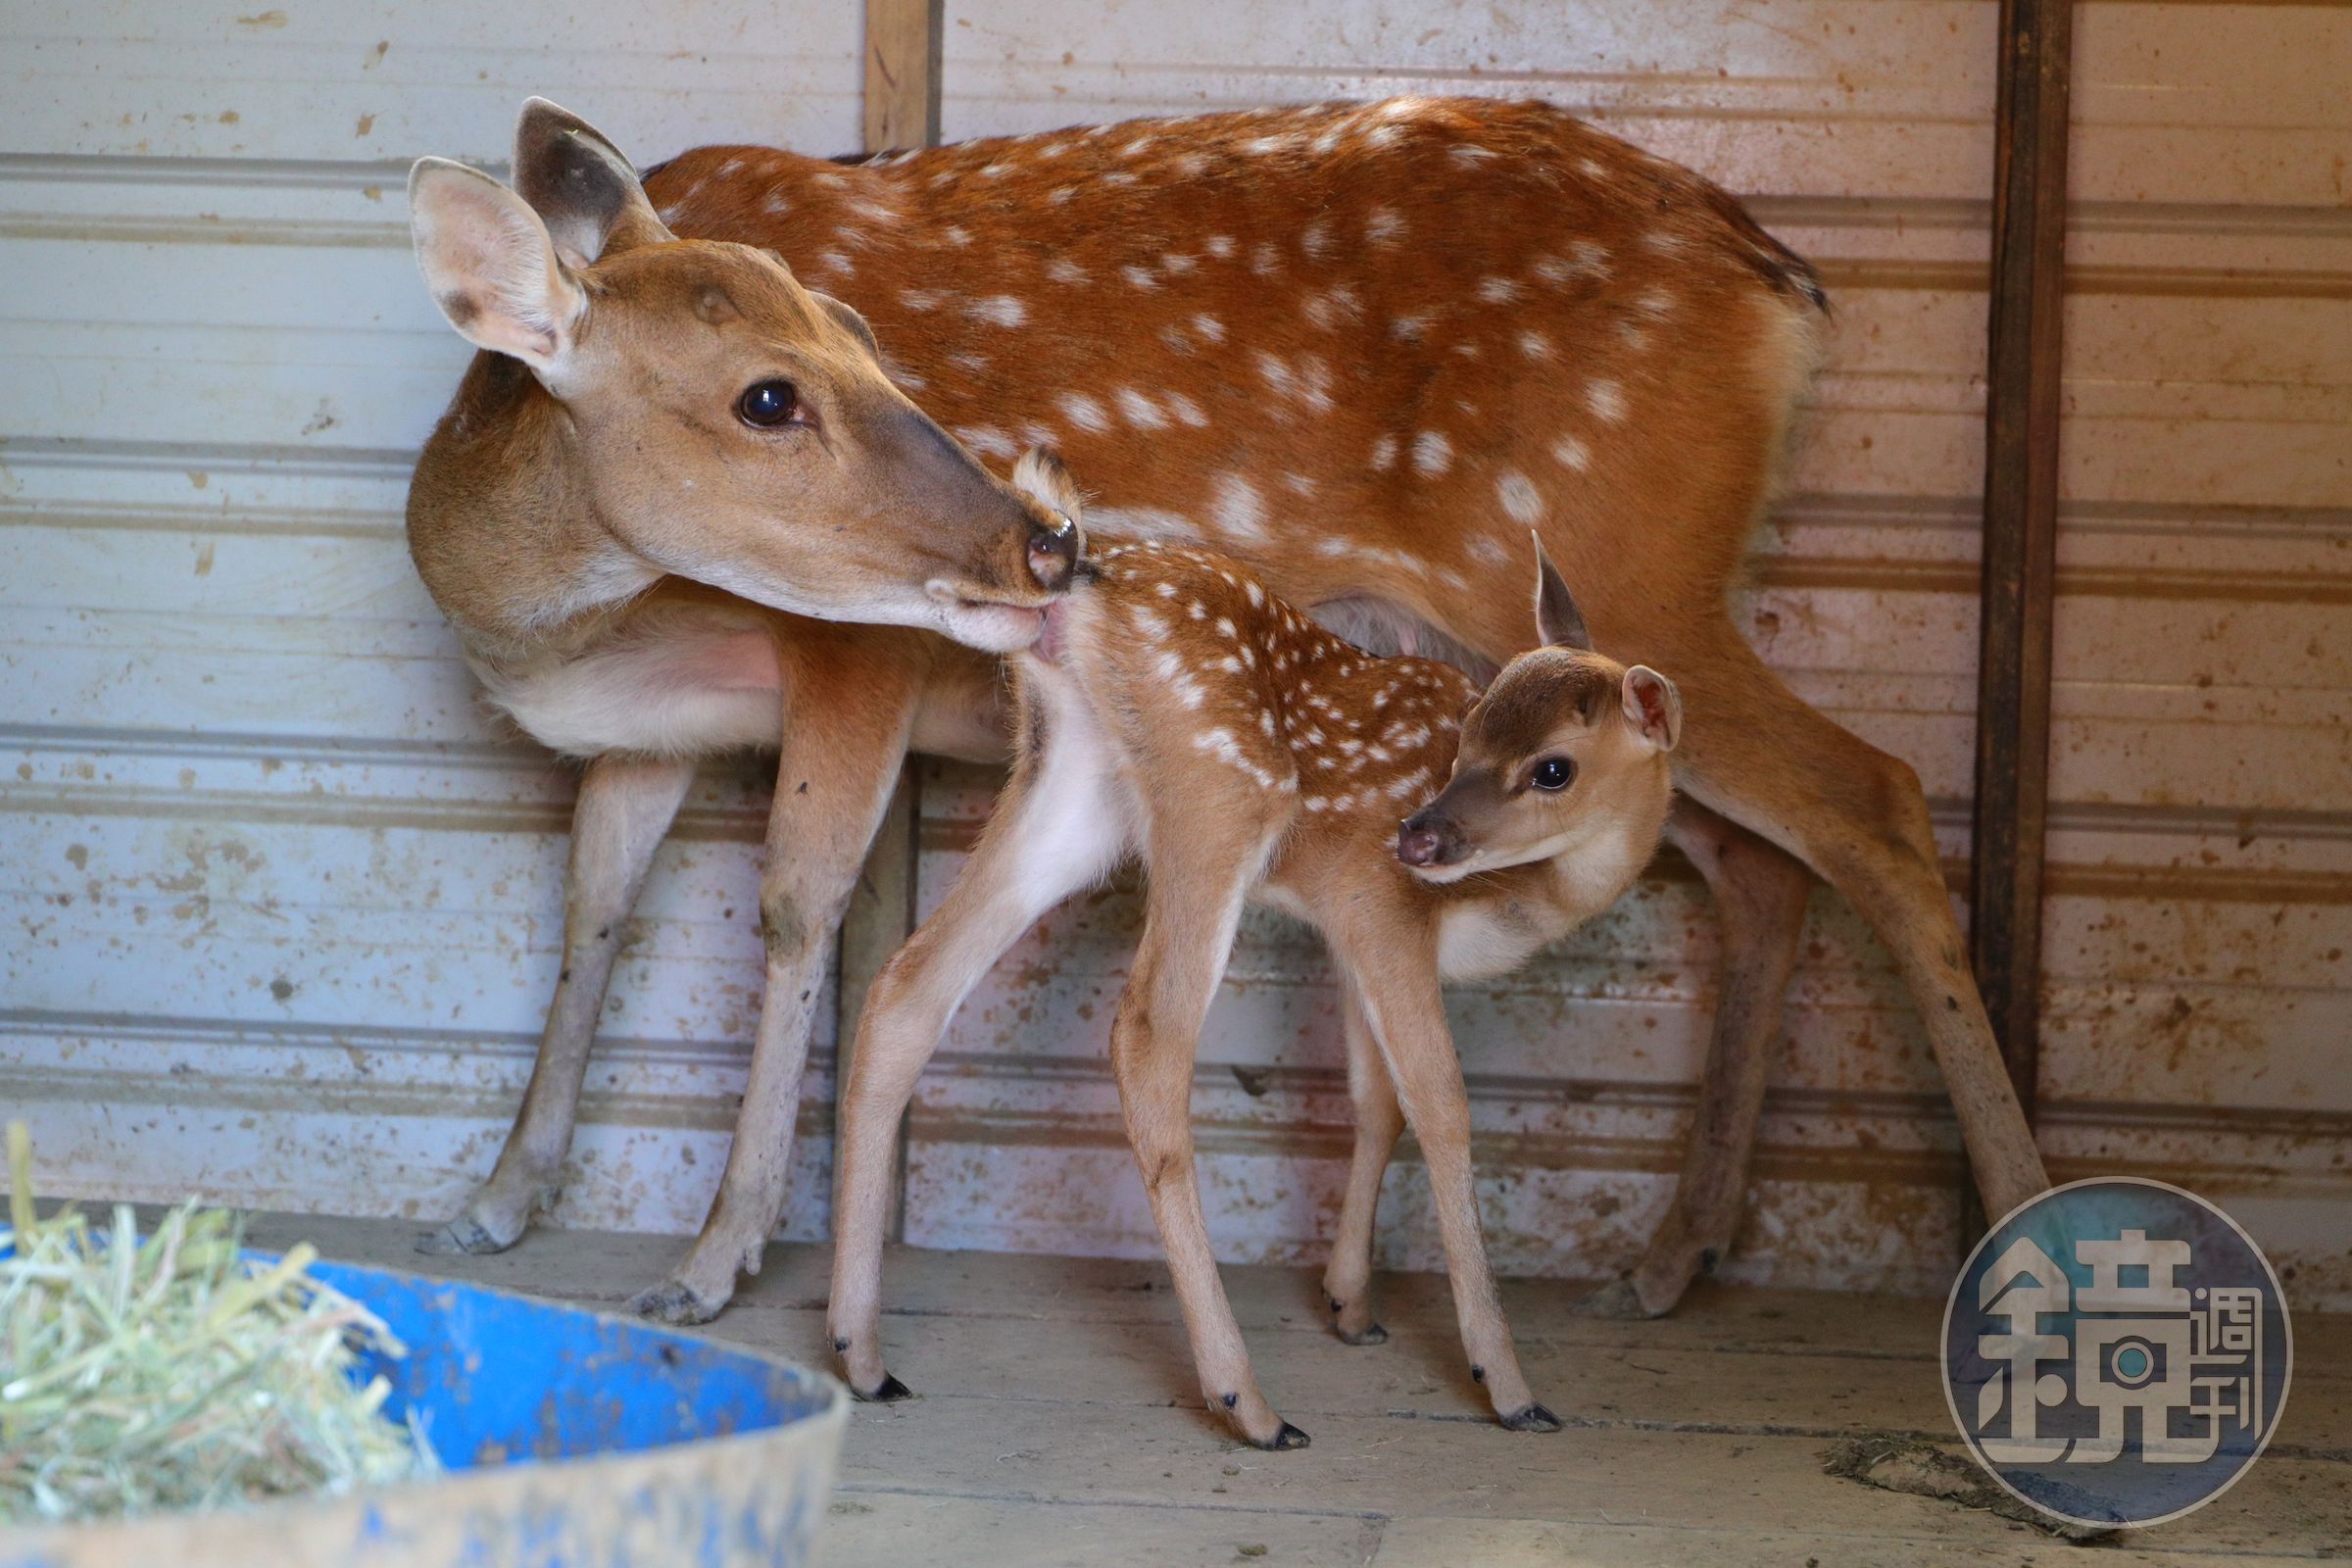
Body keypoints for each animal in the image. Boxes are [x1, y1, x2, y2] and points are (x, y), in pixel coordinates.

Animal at [403, 95, 2048, 1330]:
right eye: (765, 395)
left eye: (864, 337)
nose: (1041, 541)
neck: (557, 614)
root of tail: (1782, 278)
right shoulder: (645, 729)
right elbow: (593, 904)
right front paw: (495, 1200)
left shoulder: (847, 658)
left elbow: (800, 908)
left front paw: (711, 1260)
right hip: (1561, 668)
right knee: (1758, 855)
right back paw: (1672, 1253)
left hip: (1628, 558)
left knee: (1877, 800)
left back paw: (2019, 1223)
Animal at [829, 452, 1683, 1446]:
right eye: (1469, 737)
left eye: (1553, 767)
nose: (1418, 837)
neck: (1529, 898)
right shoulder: (1381, 907)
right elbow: (1442, 1107)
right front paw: (1507, 1384)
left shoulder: (1349, 934)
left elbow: (1375, 1103)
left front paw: (1351, 1307)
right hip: (1221, 794)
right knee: (1148, 1037)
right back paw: (1251, 1402)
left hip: (1072, 794)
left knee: (908, 986)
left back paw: (862, 1358)